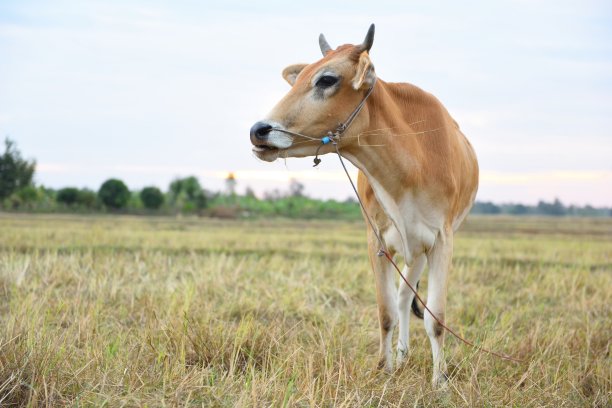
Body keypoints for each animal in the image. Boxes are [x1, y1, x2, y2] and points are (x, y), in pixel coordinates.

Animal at [247, 23, 478, 388]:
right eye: (299, 79)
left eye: (326, 79)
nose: (258, 130)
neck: (409, 165)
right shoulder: (378, 240)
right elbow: (385, 312)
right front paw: (384, 369)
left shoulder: (442, 240)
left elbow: (436, 318)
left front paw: (439, 381)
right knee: (402, 299)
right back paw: (402, 356)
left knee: (409, 299)